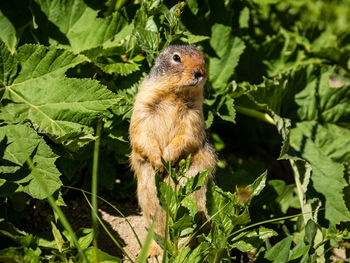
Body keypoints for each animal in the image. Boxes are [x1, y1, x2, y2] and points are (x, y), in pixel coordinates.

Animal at [129, 44, 216, 256]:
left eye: (202, 57)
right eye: (176, 58)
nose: (199, 72)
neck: (174, 95)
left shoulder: (194, 114)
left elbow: (188, 136)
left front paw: (167, 159)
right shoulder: (143, 102)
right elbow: (140, 133)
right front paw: (158, 162)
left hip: (194, 207)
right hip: (149, 205)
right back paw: (153, 252)